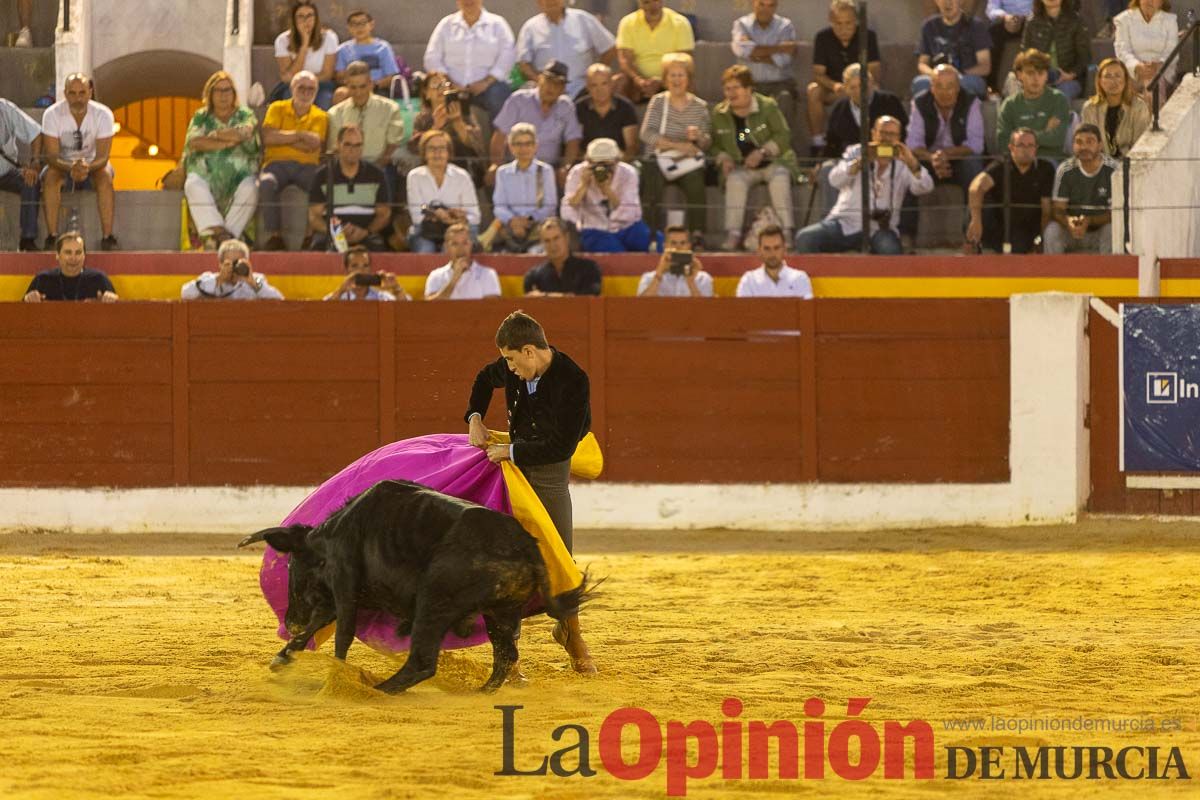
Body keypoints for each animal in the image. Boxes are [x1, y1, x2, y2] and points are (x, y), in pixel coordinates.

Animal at [236, 482, 588, 695]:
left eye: (290, 565)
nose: (290, 620)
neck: (329, 536)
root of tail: (524, 544)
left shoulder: (344, 581)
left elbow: (342, 634)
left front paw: (336, 679)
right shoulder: (342, 595)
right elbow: (319, 624)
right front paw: (282, 658)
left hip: (433, 601)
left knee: (422, 661)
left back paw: (376, 689)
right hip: (501, 613)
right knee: (505, 654)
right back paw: (481, 692)